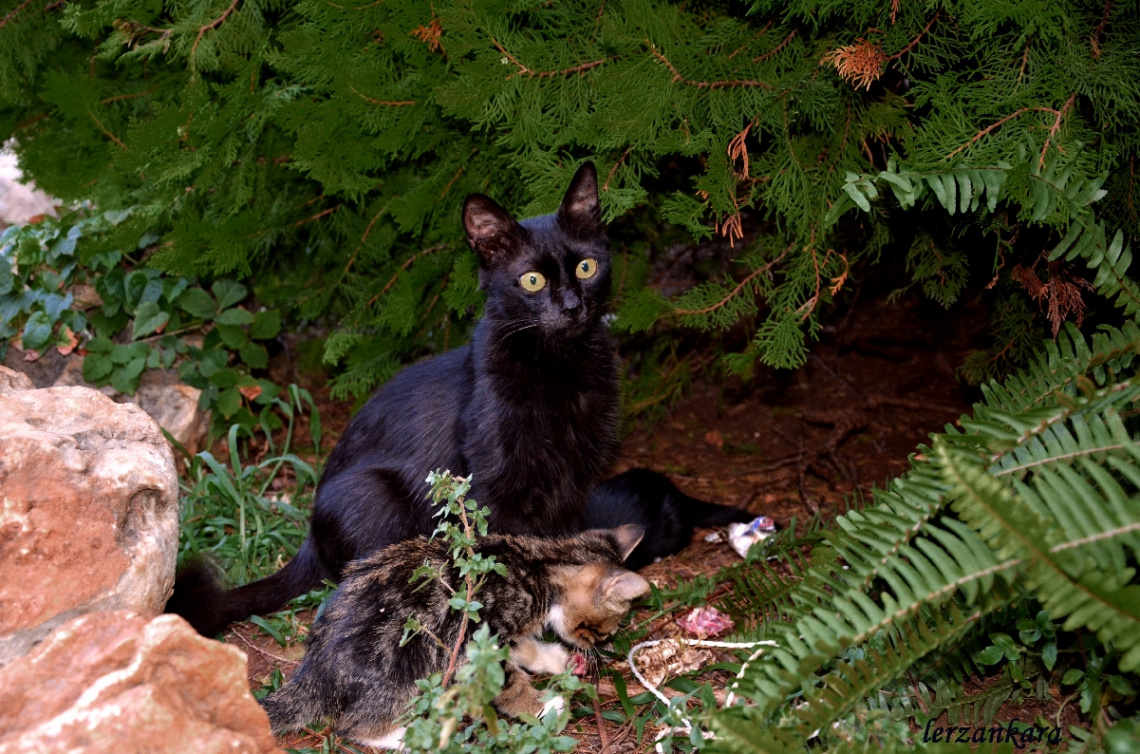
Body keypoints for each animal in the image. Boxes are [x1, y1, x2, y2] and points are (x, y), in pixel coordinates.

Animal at [261, 522, 652, 748]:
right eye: (603, 631)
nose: (602, 648)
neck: (540, 566)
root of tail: (315, 672)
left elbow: (520, 648)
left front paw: (551, 657)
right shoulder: (476, 635)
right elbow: (507, 680)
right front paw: (544, 706)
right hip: (407, 661)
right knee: (356, 726)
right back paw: (415, 736)